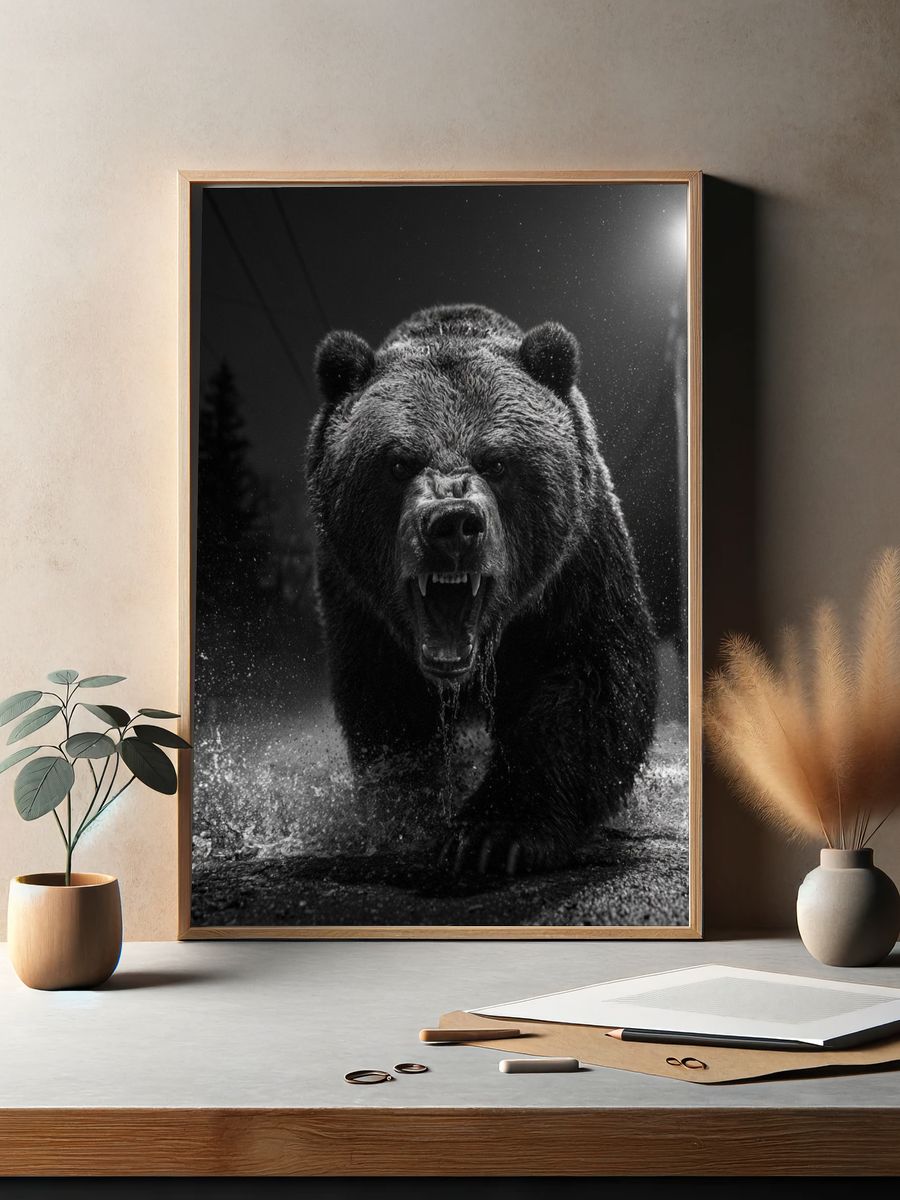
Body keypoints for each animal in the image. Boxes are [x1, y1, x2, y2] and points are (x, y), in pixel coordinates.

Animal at [306, 303, 657, 877]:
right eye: (398, 461)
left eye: (497, 461)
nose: (452, 524)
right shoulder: (357, 604)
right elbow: (388, 711)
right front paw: (411, 819)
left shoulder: (575, 568)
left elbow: (589, 682)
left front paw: (490, 834)